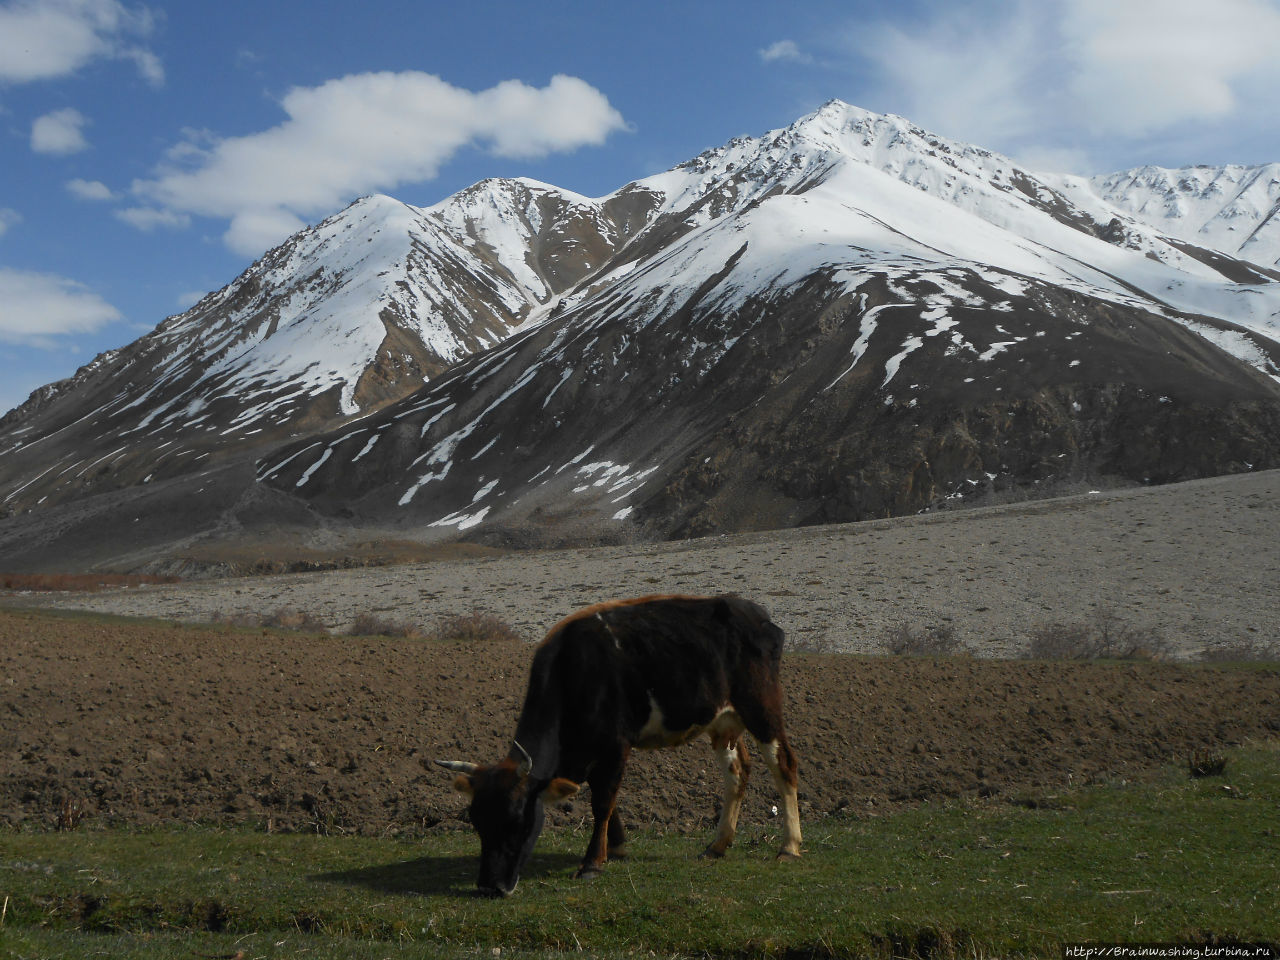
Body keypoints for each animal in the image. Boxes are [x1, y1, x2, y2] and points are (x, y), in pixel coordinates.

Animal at [440, 599, 798, 901]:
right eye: (476, 821)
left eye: (517, 821)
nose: (489, 886)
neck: (573, 671)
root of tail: (753, 611)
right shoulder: (588, 754)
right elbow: (605, 801)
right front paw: (617, 847)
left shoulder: (615, 745)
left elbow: (603, 802)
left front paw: (592, 863)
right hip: (723, 721)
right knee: (737, 771)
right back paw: (717, 845)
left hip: (761, 707)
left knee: (784, 765)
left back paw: (789, 847)